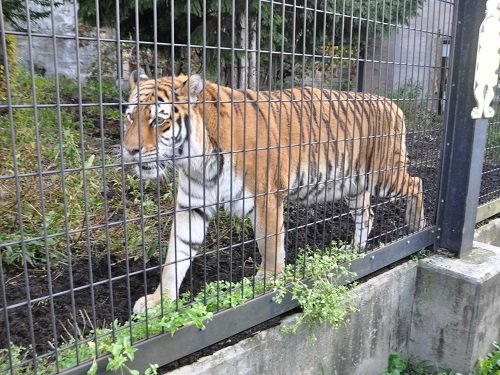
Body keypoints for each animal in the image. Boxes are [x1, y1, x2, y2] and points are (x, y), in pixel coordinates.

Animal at [123, 71, 424, 314]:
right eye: (129, 117)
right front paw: (158, 302)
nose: (129, 150)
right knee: (367, 215)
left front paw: (267, 281)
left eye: (158, 121)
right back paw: (354, 250)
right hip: (354, 185)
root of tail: (392, 103)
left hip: (383, 175)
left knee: (417, 183)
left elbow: (269, 243)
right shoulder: (192, 205)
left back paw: (417, 226)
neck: (195, 160)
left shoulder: (265, 198)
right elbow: (175, 256)